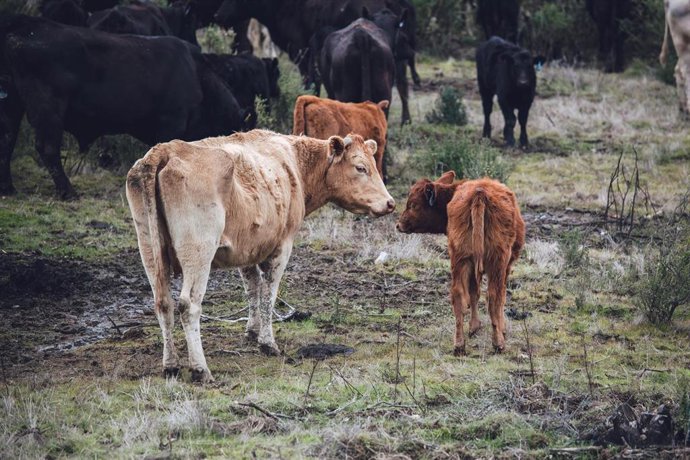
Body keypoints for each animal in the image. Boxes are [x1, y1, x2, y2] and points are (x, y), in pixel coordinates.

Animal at [0, 15, 246, 199]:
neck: (198, 76)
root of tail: (25, 25)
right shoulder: (171, 122)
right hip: (48, 111)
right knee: (47, 148)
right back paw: (68, 192)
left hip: (12, 104)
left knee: (7, 140)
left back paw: (8, 189)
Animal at [126, 130, 395, 382]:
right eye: (361, 167)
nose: (390, 203)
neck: (295, 164)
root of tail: (165, 150)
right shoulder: (282, 245)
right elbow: (269, 294)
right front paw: (267, 342)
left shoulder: (247, 249)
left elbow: (253, 288)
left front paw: (252, 331)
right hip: (198, 250)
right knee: (188, 305)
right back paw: (200, 369)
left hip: (149, 248)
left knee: (163, 303)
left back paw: (170, 365)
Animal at [396, 171, 525, 355]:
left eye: (413, 205)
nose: (399, 224)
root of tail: (479, 193)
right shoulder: (505, 266)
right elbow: (498, 296)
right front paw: (501, 329)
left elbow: (473, 293)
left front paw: (474, 327)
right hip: (496, 261)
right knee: (494, 296)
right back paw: (498, 344)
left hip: (460, 259)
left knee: (458, 295)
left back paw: (459, 345)